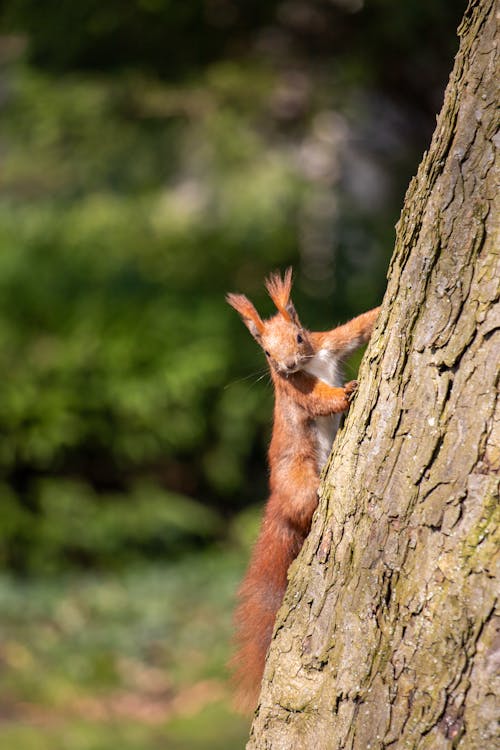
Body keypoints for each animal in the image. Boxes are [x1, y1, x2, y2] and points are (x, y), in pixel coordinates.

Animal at [227, 268, 378, 712]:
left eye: (297, 337)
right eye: (265, 354)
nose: (288, 364)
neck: (312, 361)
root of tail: (276, 505)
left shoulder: (330, 342)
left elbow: (357, 327)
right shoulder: (296, 390)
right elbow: (320, 401)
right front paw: (345, 393)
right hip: (300, 482)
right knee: (307, 508)